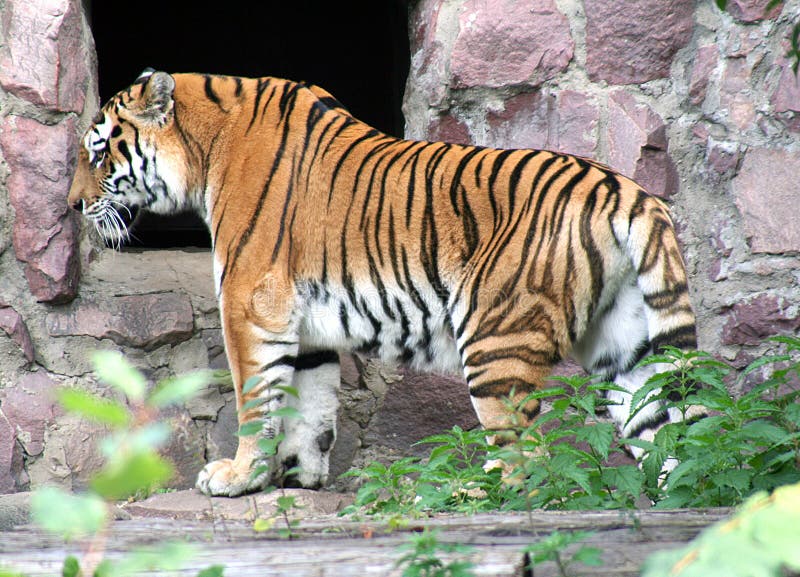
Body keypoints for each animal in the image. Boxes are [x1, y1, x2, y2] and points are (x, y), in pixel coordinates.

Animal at [65, 71, 696, 496]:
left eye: (98, 153)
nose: (71, 205)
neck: (205, 147)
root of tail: (623, 188)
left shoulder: (251, 302)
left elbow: (256, 399)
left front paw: (238, 475)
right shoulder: (302, 323)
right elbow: (310, 404)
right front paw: (298, 476)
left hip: (497, 340)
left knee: (528, 462)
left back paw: (473, 493)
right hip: (629, 348)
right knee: (671, 434)